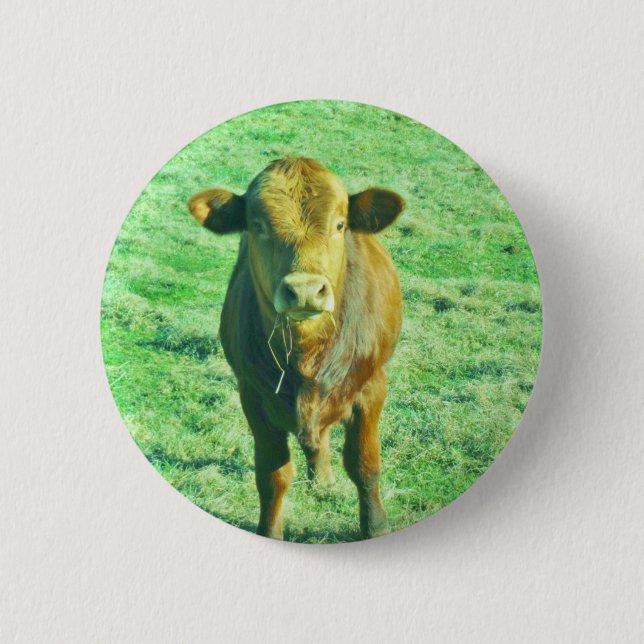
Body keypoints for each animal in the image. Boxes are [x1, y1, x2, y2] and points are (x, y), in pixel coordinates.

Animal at [188, 158, 405, 540]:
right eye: (257, 225)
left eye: (339, 224)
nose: (305, 290)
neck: (308, 354)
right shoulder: (252, 397)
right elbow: (272, 476)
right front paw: (270, 531)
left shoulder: (372, 388)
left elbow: (365, 466)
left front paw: (376, 527)